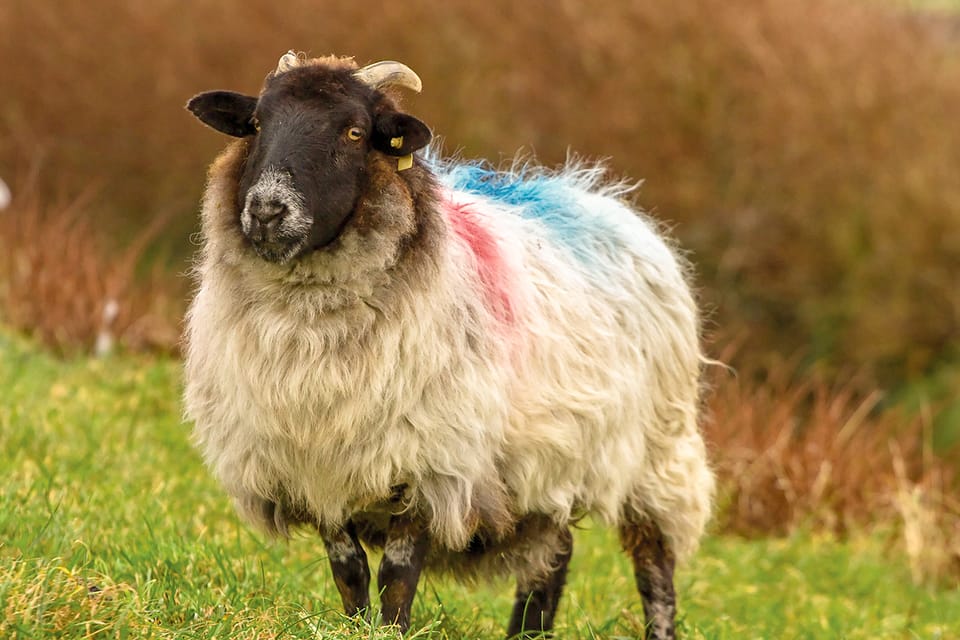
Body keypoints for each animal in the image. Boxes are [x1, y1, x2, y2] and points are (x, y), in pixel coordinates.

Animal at [184, 51, 714, 640]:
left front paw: (392, 629)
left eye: (354, 132)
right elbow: (348, 568)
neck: (312, 329)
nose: (267, 212)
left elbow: (397, 573)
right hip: (546, 467)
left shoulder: (430, 459)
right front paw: (357, 625)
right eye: (257, 124)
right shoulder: (315, 465)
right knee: (551, 560)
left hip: (658, 455)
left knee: (655, 568)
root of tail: (609, 205)